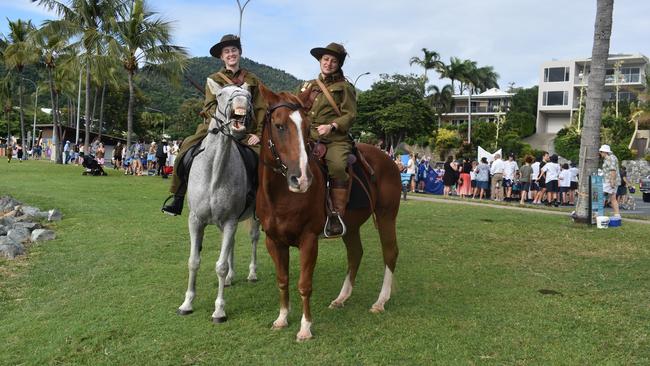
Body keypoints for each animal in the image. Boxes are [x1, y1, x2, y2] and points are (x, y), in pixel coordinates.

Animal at [177, 81, 260, 324]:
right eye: (221, 94)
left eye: (248, 94)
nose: (243, 101)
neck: (214, 172)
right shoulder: (195, 221)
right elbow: (193, 261)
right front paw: (187, 304)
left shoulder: (231, 221)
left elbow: (220, 266)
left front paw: (219, 310)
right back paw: (232, 278)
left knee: (253, 239)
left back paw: (252, 273)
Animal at [256, 85, 400, 340]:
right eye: (279, 126)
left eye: (306, 127)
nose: (302, 179)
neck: (279, 195)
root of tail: (389, 160)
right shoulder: (273, 241)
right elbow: (282, 280)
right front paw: (282, 318)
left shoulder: (308, 240)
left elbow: (304, 284)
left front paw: (305, 328)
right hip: (350, 226)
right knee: (355, 254)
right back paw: (342, 298)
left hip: (386, 217)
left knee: (390, 253)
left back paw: (380, 301)